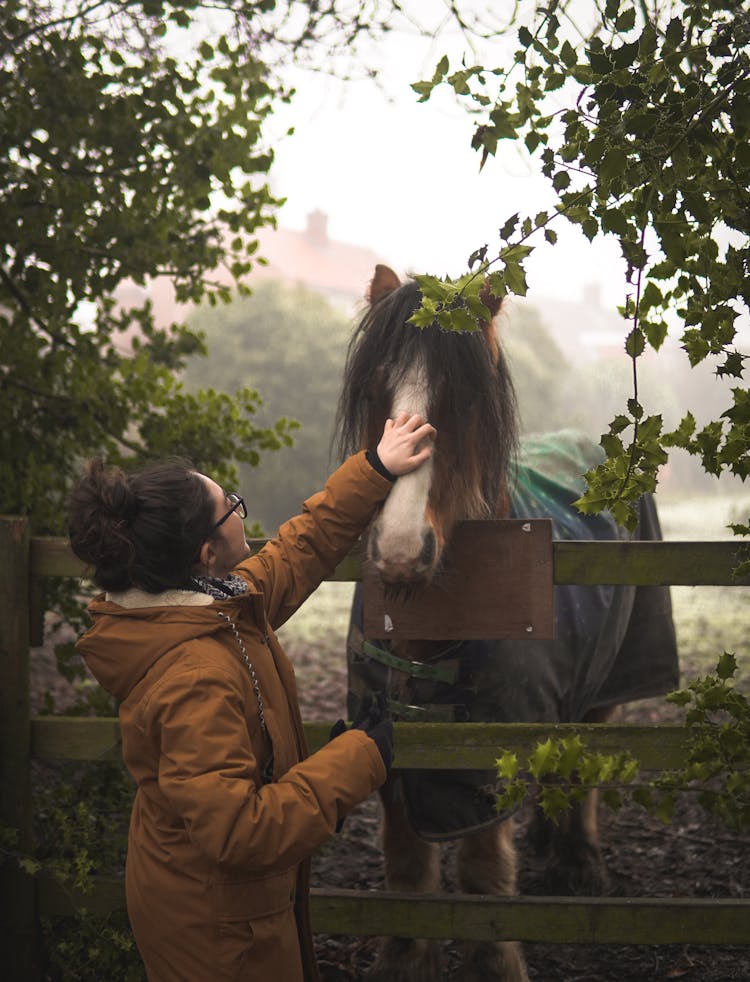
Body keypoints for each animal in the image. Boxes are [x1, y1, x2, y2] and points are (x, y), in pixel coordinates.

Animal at [334, 266, 680, 982]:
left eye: (465, 400)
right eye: (378, 389)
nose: (401, 551)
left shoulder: (489, 762)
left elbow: (484, 873)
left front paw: (495, 962)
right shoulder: (389, 757)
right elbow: (406, 867)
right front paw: (404, 957)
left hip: (610, 683)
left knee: (584, 766)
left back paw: (578, 861)